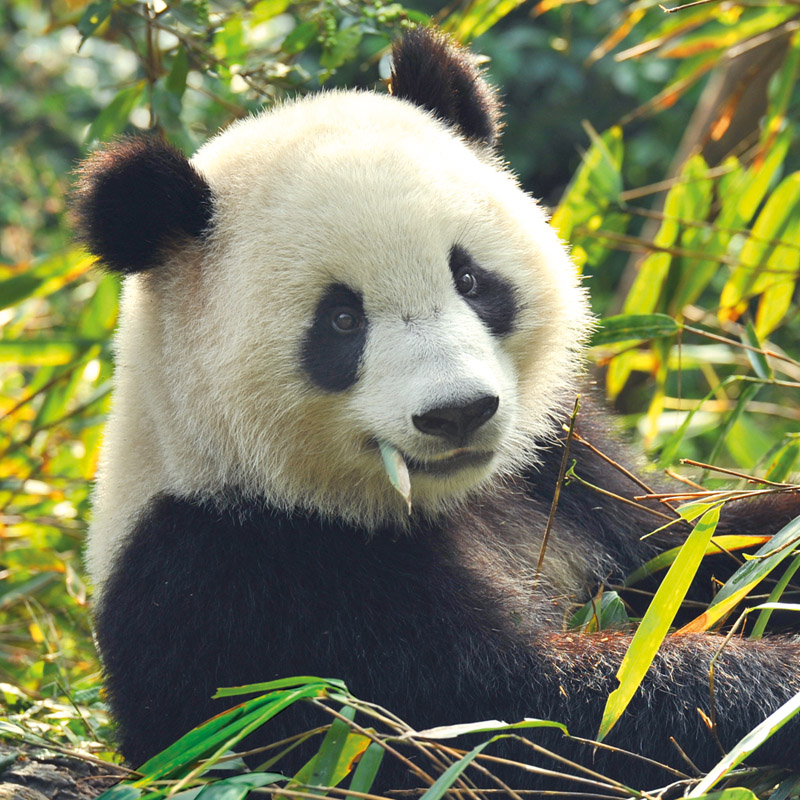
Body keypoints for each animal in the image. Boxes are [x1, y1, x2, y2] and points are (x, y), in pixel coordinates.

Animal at [74, 27, 800, 790]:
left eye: (471, 279)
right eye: (340, 320)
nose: (459, 413)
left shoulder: (559, 471)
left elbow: (696, 550)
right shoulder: (248, 578)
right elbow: (506, 721)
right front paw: (775, 691)